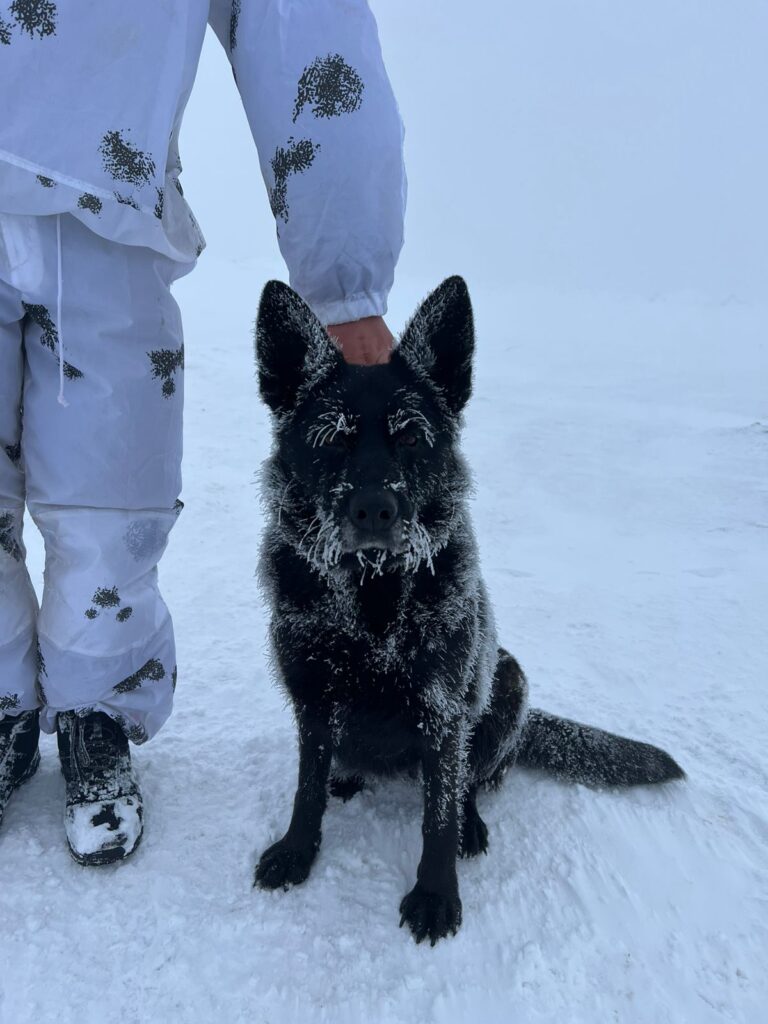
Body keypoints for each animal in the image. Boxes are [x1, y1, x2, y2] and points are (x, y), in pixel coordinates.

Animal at [253, 278, 684, 942]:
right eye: (333, 439)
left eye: (410, 437)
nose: (375, 511)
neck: (374, 600)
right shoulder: (313, 701)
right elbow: (307, 788)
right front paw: (299, 850)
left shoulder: (442, 708)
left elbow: (438, 813)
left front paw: (435, 893)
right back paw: (349, 776)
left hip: (507, 680)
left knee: (470, 783)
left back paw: (472, 825)